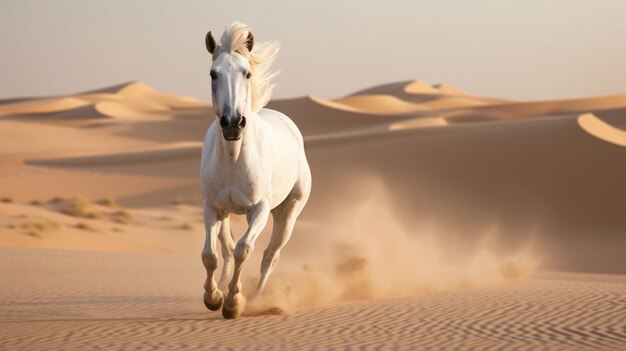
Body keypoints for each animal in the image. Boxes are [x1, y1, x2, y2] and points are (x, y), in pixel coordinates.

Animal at [200, 21, 310, 320]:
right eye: (213, 74)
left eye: (246, 72)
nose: (232, 123)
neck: (234, 159)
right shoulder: (212, 207)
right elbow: (211, 255)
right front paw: (214, 297)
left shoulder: (258, 210)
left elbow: (244, 249)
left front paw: (234, 303)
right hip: (227, 214)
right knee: (226, 248)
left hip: (287, 213)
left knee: (270, 256)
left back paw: (258, 298)